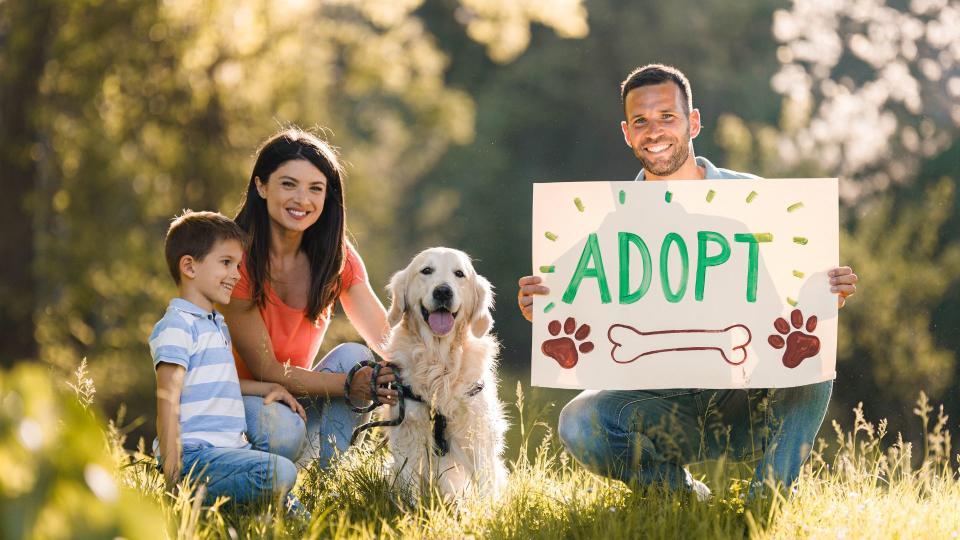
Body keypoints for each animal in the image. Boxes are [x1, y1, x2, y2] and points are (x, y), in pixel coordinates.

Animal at [382, 247, 506, 500]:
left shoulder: (476, 431)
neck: (439, 361)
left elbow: (485, 483)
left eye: (459, 274)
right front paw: (410, 507)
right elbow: (409, 482)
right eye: (426, 270)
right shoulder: (409, 429)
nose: (443, 291)